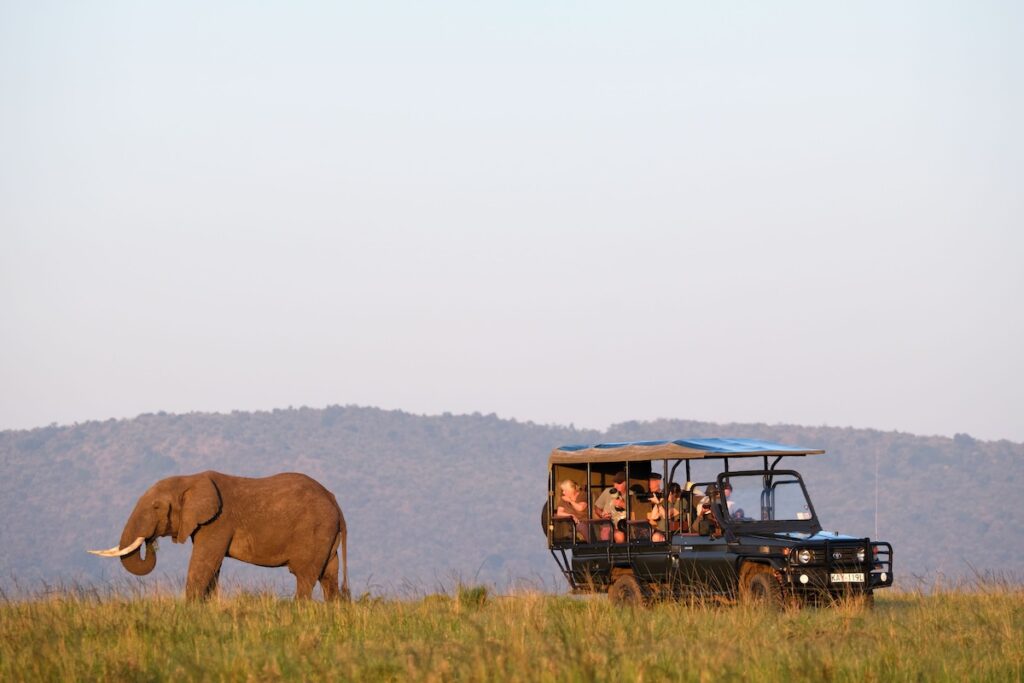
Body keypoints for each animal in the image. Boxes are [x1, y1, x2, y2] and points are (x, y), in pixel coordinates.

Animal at [89, 471, 349, 601]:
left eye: (155, 507)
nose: (151, 542)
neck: (189, 479)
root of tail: (335, 502)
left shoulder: (218, 521)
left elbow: (203, 564)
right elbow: (212, 570)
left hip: (315, 529)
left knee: (305, 575)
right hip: (326, 534)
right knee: (329, 575)